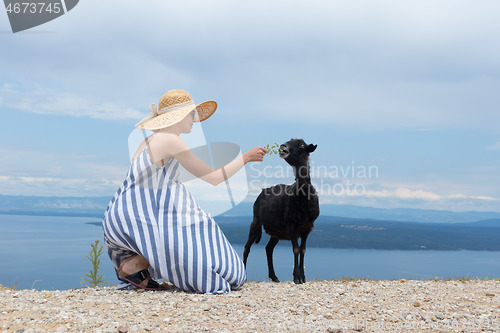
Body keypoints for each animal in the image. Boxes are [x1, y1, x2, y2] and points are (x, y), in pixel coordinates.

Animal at [243, 137, 320, 282]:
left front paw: (303, 277)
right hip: (255, 220)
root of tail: (264, 190)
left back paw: (274, 277)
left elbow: (303, 250)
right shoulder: (291, 225)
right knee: (247, 247)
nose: (283, 146)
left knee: (268, 249)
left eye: (302, 146)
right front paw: (297, 277)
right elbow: (296, 249)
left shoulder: (308, 227)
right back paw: (244, 274)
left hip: (276, 231)